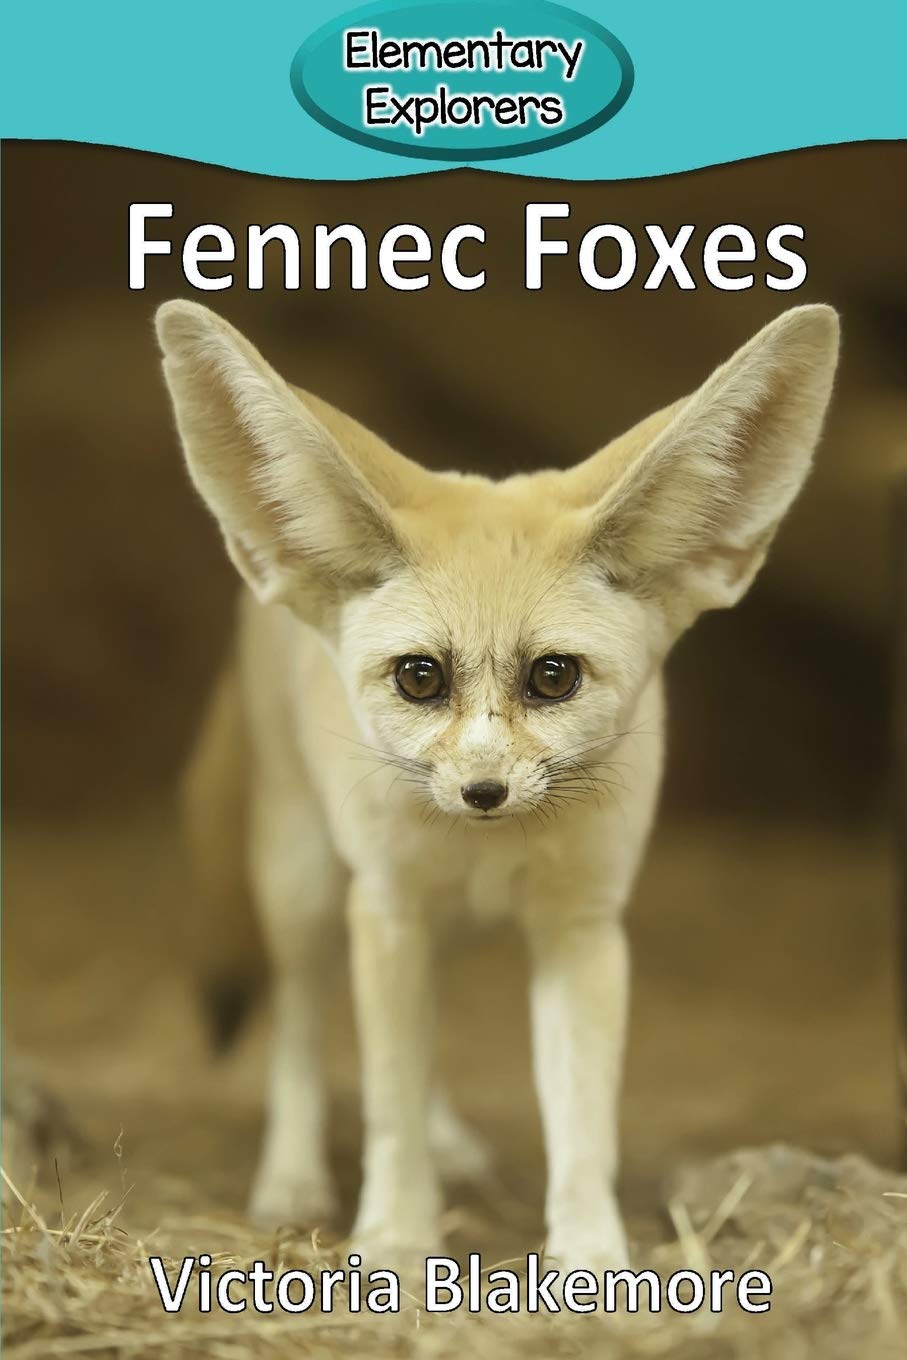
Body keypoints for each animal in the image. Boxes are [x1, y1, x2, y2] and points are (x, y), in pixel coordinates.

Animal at [156, 300, 839, 1273]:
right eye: (419, 678)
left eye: (553, 677)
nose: (482, 791)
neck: (487, 851)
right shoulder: (388, 907)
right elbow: (388, 1103)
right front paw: (395, 1239)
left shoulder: (580, 927)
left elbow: (581, 1128)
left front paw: (591, 1259)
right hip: (306, 886)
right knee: (297, 1020)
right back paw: (291, 1177)